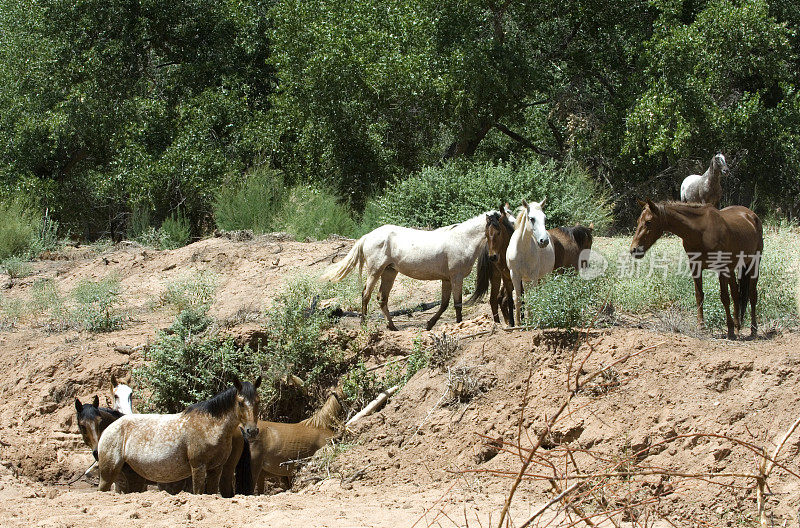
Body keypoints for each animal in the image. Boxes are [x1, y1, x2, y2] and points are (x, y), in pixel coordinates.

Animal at [96, 376, 260, 496]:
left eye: (258, 402)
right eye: (240, 403)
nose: (251, 431)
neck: (210, 426)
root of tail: (110, 427)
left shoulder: (216, 469)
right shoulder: (198, 467)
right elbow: (198, 492)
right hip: (108, 472)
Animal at [318, 211, 494, 328]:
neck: (462, 240)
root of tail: (367, 236)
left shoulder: (446, 279)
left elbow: (444, 304)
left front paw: (429, 324)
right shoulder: (456, 277)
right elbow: (457, 303)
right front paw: (459, 323)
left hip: (389, 272)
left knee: (381, 298)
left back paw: (392, 327)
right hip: (375, 271)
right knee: (366, 295)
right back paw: (364, 324)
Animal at [632, 198, 764, 338]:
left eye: (648, 222)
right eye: (638, 221)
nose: (634, 249)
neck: (701, 232)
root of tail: (751, 215)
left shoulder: (721, 268)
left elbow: (724, 297)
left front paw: (730, 330)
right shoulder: (696, 266)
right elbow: (699, 295)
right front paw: (701, 325)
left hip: (753, 264)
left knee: (752, 295)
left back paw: (753, 329)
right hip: (733, 268)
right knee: (736, 294)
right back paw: (738, 326)